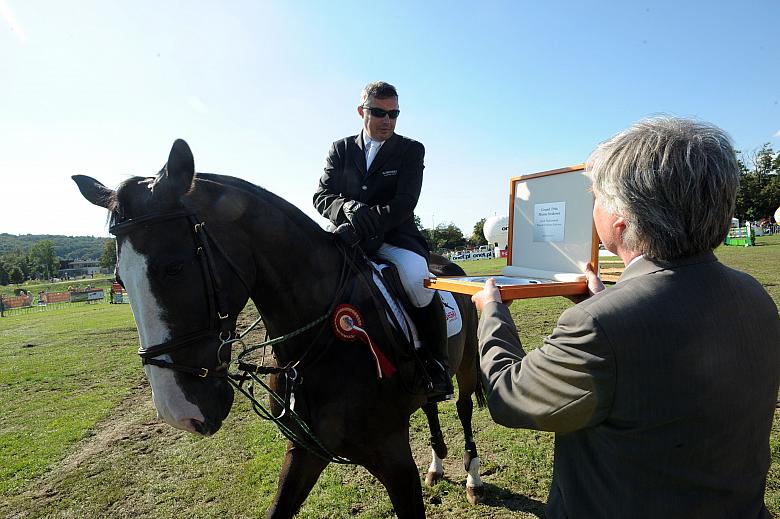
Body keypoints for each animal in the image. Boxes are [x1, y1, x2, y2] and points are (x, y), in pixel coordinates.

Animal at [76, 140, 484, 516]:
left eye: (173, 267)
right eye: (119, 280)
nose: (179, 412)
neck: (315, 346)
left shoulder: (394, 459)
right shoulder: (305, 451)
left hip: (465, 366)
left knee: (463, 408)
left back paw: (472, 478)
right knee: (431, 407)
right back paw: (437, 465)